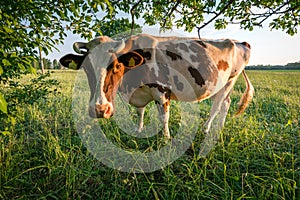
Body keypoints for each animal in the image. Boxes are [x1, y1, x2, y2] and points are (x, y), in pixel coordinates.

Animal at [59, 33, 254, 139]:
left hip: (229, 80)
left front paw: (166, 138)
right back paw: (217, 128)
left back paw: (207, 129)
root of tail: (239, 42)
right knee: (225, 103)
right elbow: (140, 112)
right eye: (86, 68)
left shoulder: (161, 91)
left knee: (219, 105)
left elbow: (163, 117)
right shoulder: (139, 92)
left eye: (116, 66)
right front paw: (138, 129)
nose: (99, 109)